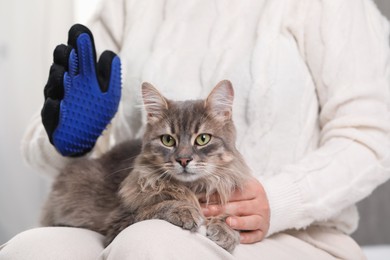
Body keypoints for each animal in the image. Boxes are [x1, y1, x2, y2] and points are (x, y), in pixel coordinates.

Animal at [40, 80, 253, 253]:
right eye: (168, 140)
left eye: (203, 139)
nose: (184, 160)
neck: (190, 188)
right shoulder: (118, 222)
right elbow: (154, 207)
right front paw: (183, 210)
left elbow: (230, 219)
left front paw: (226, 230)